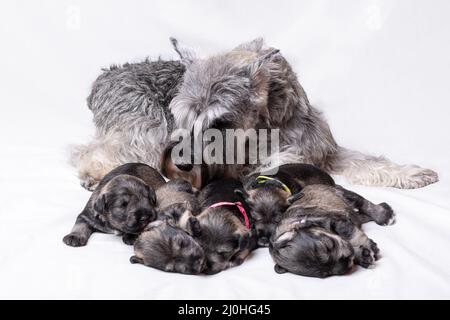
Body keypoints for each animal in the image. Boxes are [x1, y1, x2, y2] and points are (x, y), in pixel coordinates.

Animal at [268, 184, 396, 278]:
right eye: (326, 274)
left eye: (327, 246)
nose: (347, 262)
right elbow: (351, 243)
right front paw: (363, 256)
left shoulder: (338, 222)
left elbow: (353, 237)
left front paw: (368, 249)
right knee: (360, 215)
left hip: (343, 194)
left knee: (363, 203)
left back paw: (384, 215)